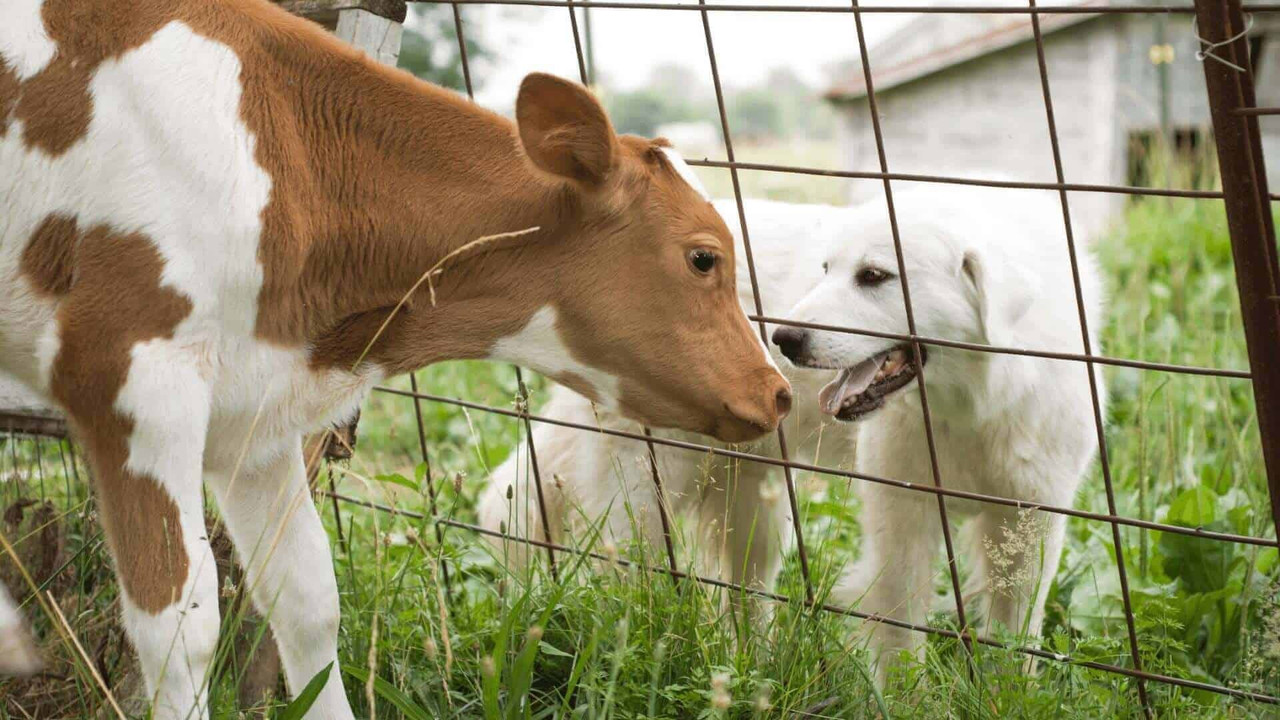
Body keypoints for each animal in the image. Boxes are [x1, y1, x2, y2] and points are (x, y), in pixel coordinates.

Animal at [0, 1, 791, 717]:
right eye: (703, 257)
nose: (777, 390)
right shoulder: (129, 377)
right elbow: (179, 627)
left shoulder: (257, 417)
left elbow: (308, 601)